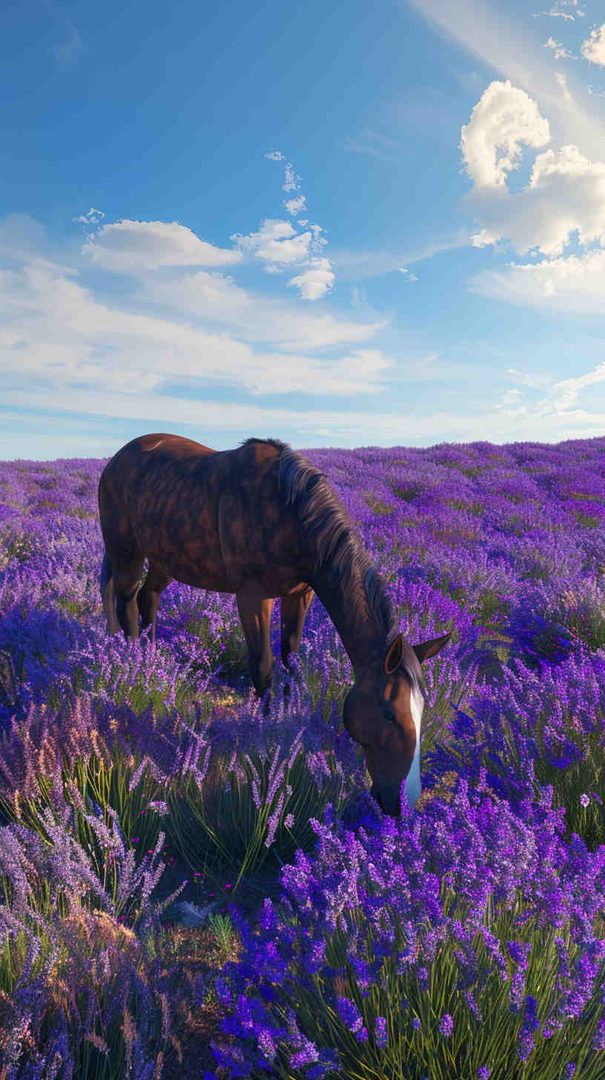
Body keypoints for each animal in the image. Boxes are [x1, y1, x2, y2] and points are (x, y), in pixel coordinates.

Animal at [98, 433, 450, 815]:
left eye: (423, 709)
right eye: (388, 713)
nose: (402, 803)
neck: (290, 516)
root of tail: (115, 460)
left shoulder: (300, 593)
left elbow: (291, 658)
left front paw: (289, 719)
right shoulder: (253, 595)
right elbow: (264, 665)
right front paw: (264, 735)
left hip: (165, 556)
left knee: (149, 597)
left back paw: (152, 660)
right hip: (126, 551)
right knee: (125, 599)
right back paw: (132, 661)